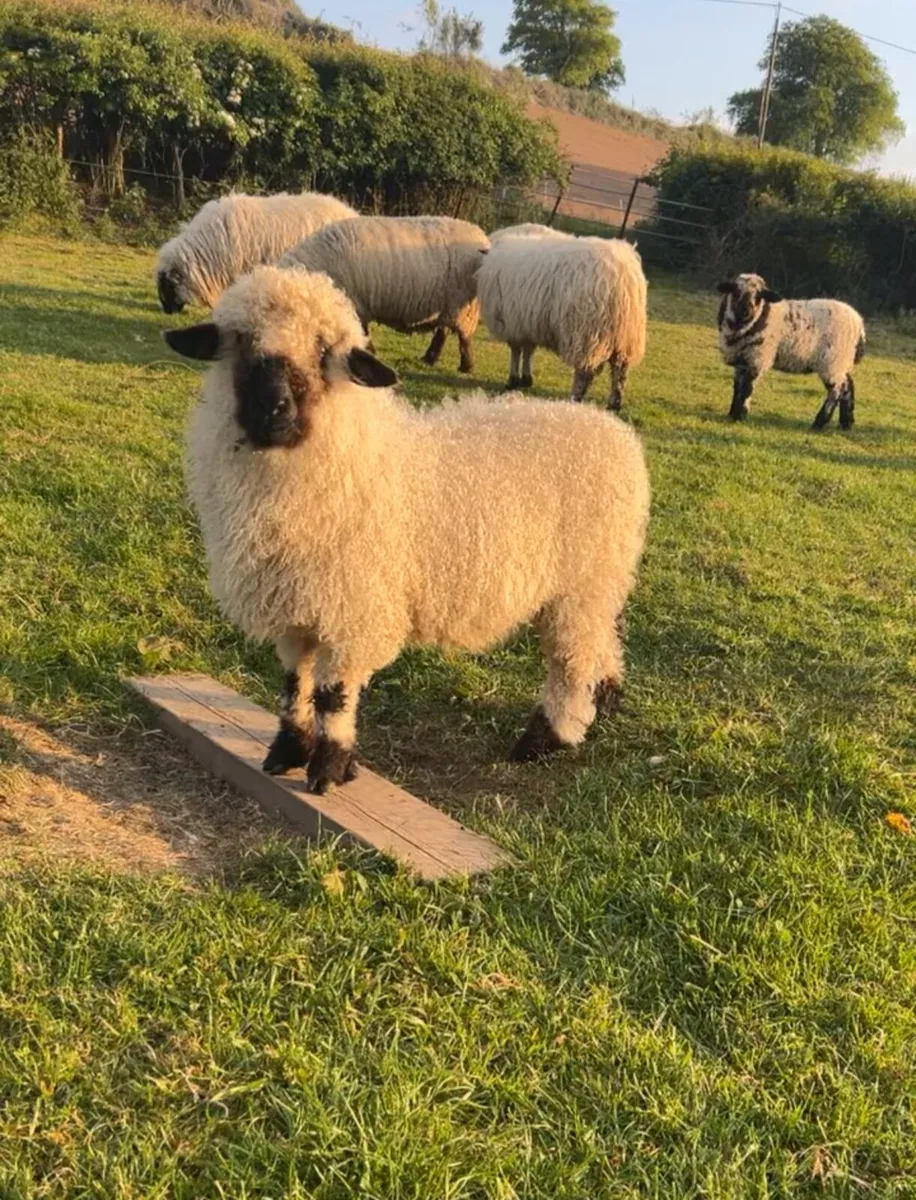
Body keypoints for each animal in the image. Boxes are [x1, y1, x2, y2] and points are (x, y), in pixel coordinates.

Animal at [165, 266, 650, 795]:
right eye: (241, 341)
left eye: (323, 351)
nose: (273, 409)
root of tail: (616, 435)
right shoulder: (298, 606)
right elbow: (295, 683)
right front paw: (289, 751)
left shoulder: (353, 608)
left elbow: (333, 694)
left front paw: (330, 768)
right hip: (594, 585)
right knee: (603, 639)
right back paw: (606, 699)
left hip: (580, 585)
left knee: (570, 663)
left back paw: (547, 737)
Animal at [280, 215, 489, 374]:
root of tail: (480, 236)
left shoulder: (355, 306)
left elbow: (361, 333)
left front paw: (369, 353)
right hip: (451, 305)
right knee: (443, 330)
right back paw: (429, 359)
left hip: (464, 305)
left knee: (463, 336)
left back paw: (466, 366)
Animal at [477, 231, 648, 408]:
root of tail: (622, 273)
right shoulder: (527, 324)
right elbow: (528, 350)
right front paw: (526, 378)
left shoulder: (512, 323)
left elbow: (516, 351)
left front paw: (513, 380)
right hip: (625, 337)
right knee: (620, 370)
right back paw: (615, 402)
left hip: (587, 332)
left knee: (585, 371)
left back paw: (575, 397)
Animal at [717, 273, 866, 430]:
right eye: (735, 291)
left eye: (759, 295)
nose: (746, 310)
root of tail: (859, 325)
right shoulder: (741, 360)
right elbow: (737, 387)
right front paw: (732, 413)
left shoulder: (757, 358)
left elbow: (747, 388)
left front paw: (739, 416)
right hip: (842, 362)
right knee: (848, 385)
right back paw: (846, 423)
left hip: (832, 361)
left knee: (837, 389)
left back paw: (819, 423)